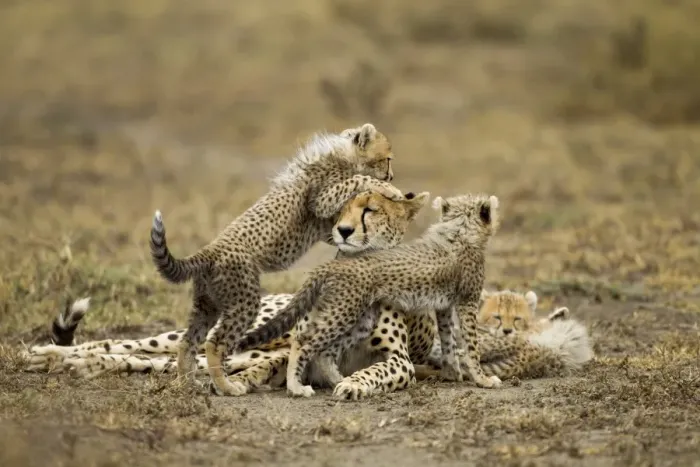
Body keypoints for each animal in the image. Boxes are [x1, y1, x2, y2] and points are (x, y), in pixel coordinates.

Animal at [149, 122, 406, 396]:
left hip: (208, 305)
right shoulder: (323, 199)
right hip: (244, 301)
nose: (391, 176)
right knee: (214, 343)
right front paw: (390, 191)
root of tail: (209, 250)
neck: (344, 157)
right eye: (388, 159)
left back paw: (187, 382)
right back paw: (227, 386)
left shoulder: (327, 225)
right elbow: (356, 180)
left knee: (188, 341)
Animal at [234, 192, 502, 397]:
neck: (459, 231)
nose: (343, 230)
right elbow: (471, 344)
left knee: (322, 352)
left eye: (370, 210)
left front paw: (452, 372)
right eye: (341, 210)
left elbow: (448, 339)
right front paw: (483, 378)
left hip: (356, 320)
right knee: (301, 345)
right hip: (340, 316)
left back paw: (336, 378)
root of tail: (332, 266)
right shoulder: (467, 302)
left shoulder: (442, 307)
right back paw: (295, 386)